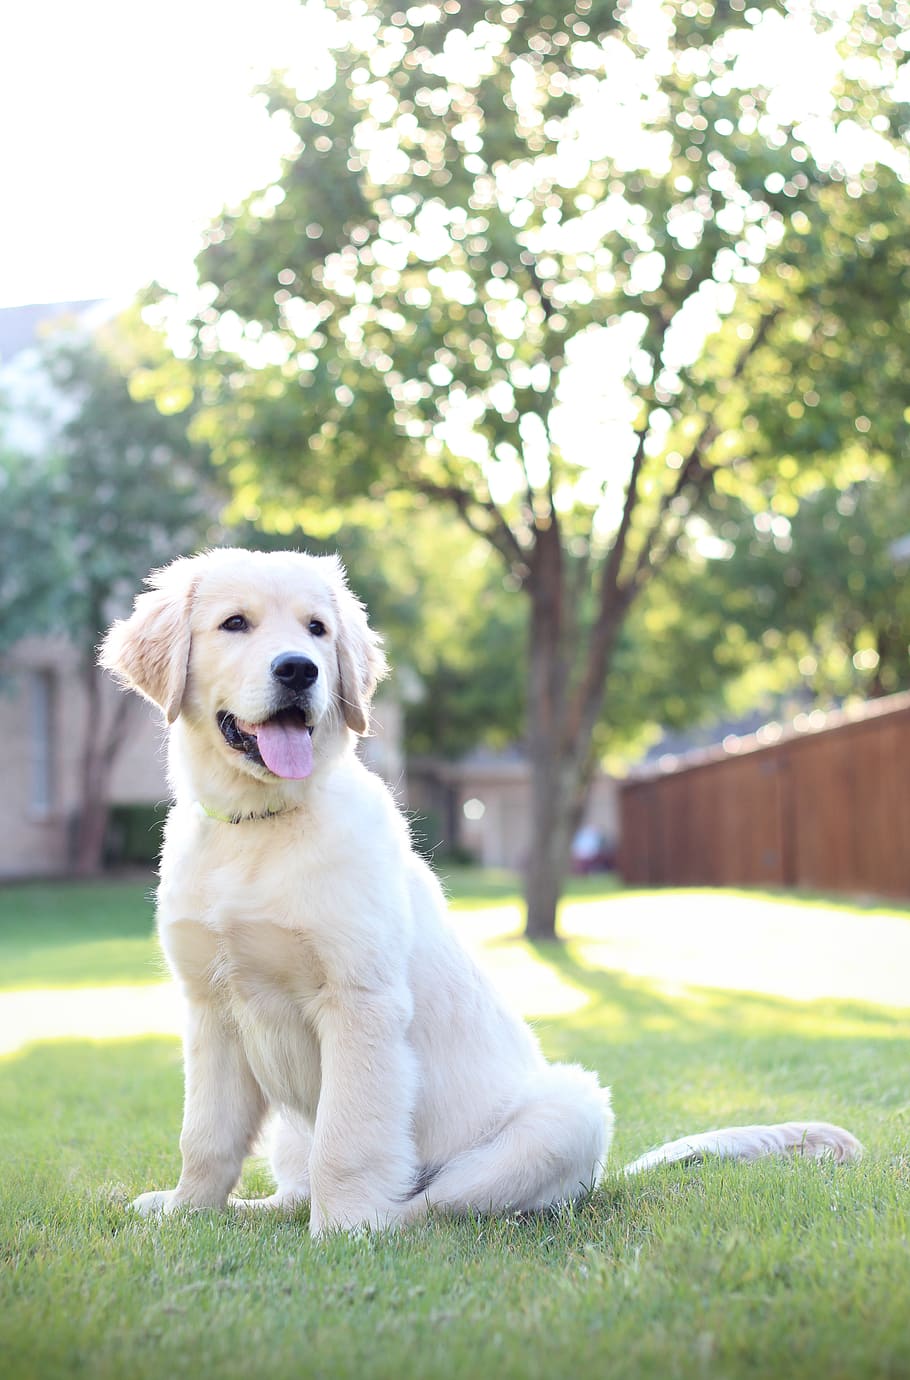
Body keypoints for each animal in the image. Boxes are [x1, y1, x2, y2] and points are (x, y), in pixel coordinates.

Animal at [99, 543, 861, 1236]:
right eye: (235, 624)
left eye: (317, 629)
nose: (299, 669)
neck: (260, 827)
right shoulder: (212, 1009)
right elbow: (206, 1136)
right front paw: (188, 1212)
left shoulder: (361, 1002)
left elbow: (347, 1143)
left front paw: (343, 1229)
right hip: (291, 1123)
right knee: (296, 1182)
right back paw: (252, 1210)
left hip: (569, 1109)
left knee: (435, 1203)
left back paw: (378, 1218)